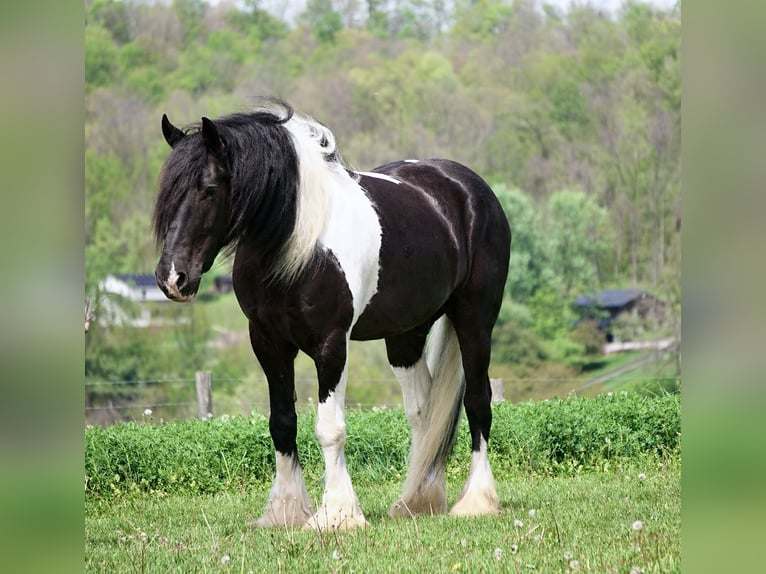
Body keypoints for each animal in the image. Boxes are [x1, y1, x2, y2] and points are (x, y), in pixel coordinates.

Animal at [153, 100, 511, 530]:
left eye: (209, 190)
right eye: (166, 195)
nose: (173, 278)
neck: (299, 247)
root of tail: (468, 186)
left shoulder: (331, 345)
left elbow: (330, 429)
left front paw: (337, 514)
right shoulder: (268, 344)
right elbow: (282, 423)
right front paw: (285, 511)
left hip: (475, 321)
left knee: (477, 400)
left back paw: (476, 500)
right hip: (405, 335)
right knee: (424, 414)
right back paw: (418, 500)